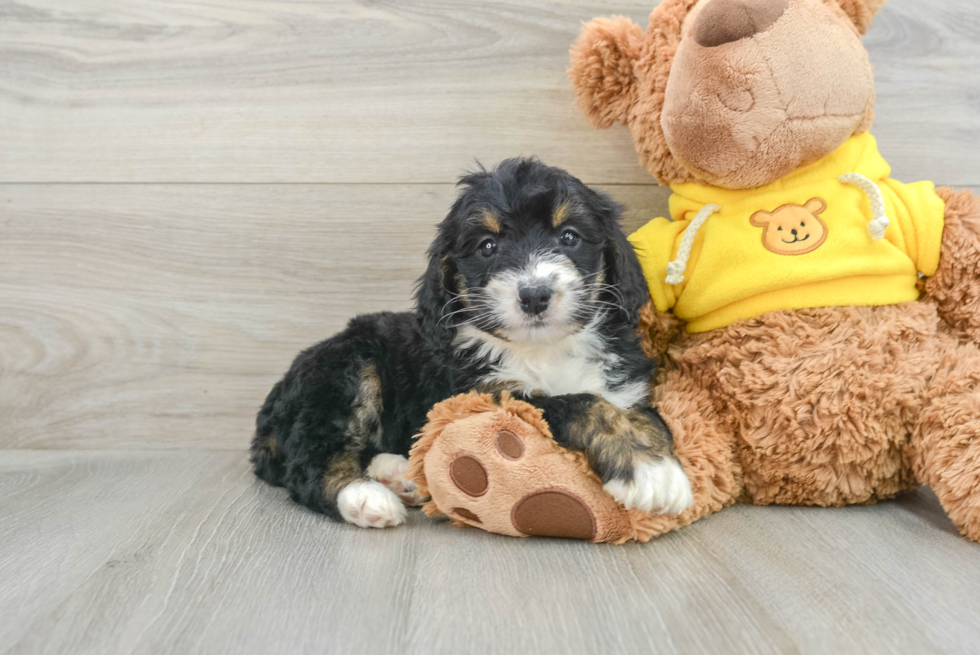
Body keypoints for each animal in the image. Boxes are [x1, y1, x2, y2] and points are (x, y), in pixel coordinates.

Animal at [253, 161, 696, 532]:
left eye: (569, 237)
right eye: (487, 246)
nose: (534, 295)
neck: (543, 349)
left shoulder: (625, 387)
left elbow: (649, 418)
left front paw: (660, 463)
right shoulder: (482, 397)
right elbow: (581, 402)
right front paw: (647, 470)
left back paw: (399, 474)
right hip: (347, 371)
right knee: (311, 460)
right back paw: (366, 497)